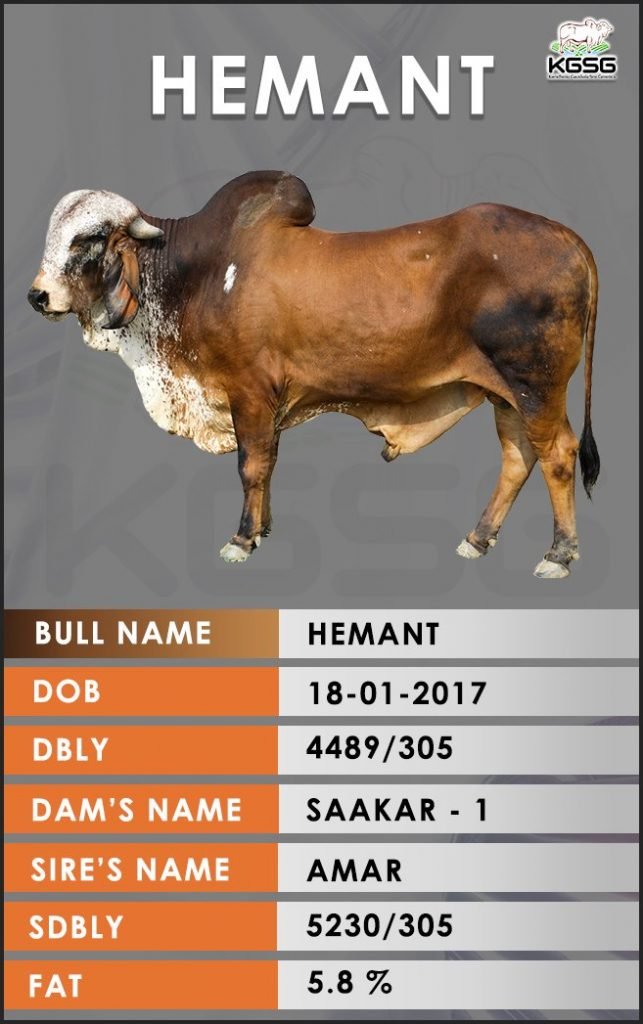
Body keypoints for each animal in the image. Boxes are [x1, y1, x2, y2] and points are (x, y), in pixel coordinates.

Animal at [29, 171, 600, 578]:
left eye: (88, 240)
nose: (37, 296)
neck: (196, 274)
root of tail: (569, 236)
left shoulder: (248, 391)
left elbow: (251, 465)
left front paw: (241, 540)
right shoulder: (270, 402)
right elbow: (269, 464)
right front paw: (263, 529)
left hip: (536, 385)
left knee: (558, 454)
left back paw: (559, 554)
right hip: (505, 393)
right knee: (517, 457)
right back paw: (477, 540)